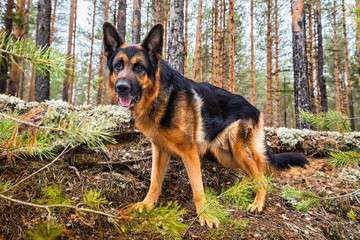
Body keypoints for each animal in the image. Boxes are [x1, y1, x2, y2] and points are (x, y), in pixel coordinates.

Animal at [102, 22, 308, 227]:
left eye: (139, 67)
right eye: (118, 65)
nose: (121, 87)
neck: (162, 96)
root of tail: (255, 109)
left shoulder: (190, 152)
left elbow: (197, 188)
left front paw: (205, 215)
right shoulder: (159, 150)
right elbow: (154, 182)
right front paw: (146, 205)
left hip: (240, 150)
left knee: (262, 177)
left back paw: (257, 204)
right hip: (226, 155)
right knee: (253, 174)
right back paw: (238, 190)